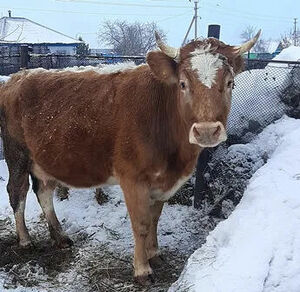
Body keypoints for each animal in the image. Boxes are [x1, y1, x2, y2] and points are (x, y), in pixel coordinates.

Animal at [0, 31, 258, 282]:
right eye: (183, 84)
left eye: (230, 82)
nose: (206, 130)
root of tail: (18, 76)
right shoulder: (133, 178)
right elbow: (141, 224)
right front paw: (142, 269)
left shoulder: (162, 181)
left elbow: (155, 218)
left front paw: (155, 254)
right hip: (16, 154)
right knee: (17, 192)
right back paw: (25, 239)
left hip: (43, 159)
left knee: (44, 192)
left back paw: (60, 236)